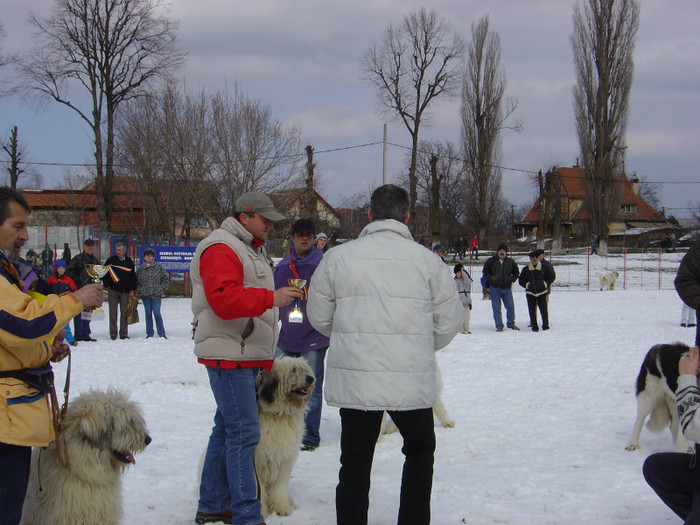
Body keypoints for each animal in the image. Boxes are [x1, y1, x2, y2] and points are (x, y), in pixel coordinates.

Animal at [254, 354, 314, 516]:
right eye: (293, 370)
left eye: (304, 369)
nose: (311, 378)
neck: (280, 415)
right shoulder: (258, 461)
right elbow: (259, 490)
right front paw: (261, 512)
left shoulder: (284, 460)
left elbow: (279, 487)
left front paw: (281, 508)